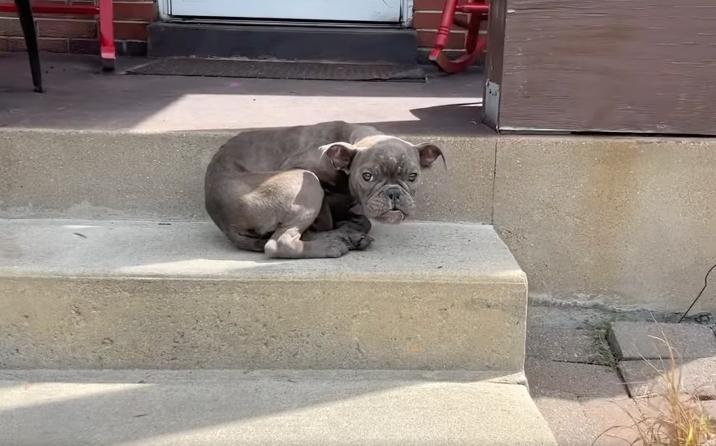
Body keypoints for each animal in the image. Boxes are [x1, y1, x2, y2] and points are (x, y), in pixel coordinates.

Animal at [204, 120, 444, 260]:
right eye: (367, 176)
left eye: (412, 176)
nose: (393, 193)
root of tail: (224, 222)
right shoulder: (299, 167)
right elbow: (327, 216)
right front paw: (342, 228)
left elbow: (359, 219)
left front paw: (350, 226)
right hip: (307, 182)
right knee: (279, 243)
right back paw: (331, 245)